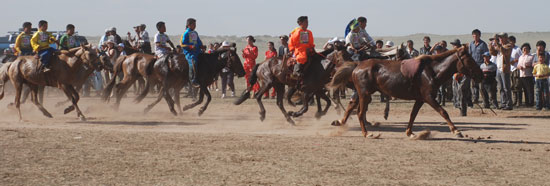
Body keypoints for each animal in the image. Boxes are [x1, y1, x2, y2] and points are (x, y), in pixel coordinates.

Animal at [330, 44, 486, 138]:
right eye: (470, 60)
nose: (481, 75)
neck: (432, 71)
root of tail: (357, 65)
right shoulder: (429, 97)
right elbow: (443, 112)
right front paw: (456, 130)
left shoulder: (420, 99)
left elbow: (412, 115)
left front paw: (409, 132)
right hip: (364, 94)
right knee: (360, 113)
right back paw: (366, 133)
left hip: (363, 94)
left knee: (352, 106)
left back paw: (341, 122)